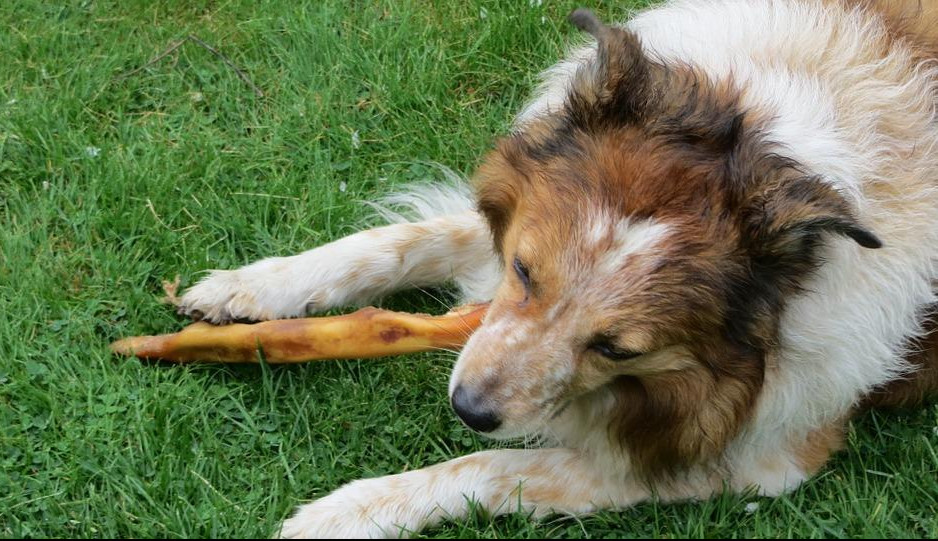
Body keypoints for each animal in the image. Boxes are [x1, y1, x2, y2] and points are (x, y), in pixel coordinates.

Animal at [176, 1, 938, 537]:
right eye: (523, 272)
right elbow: (392, 241)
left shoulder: (759, 455)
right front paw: (246, 288)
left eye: (617, 349)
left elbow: (496, 466)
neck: (771, 138)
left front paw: (346, 512)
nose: (469, 408)